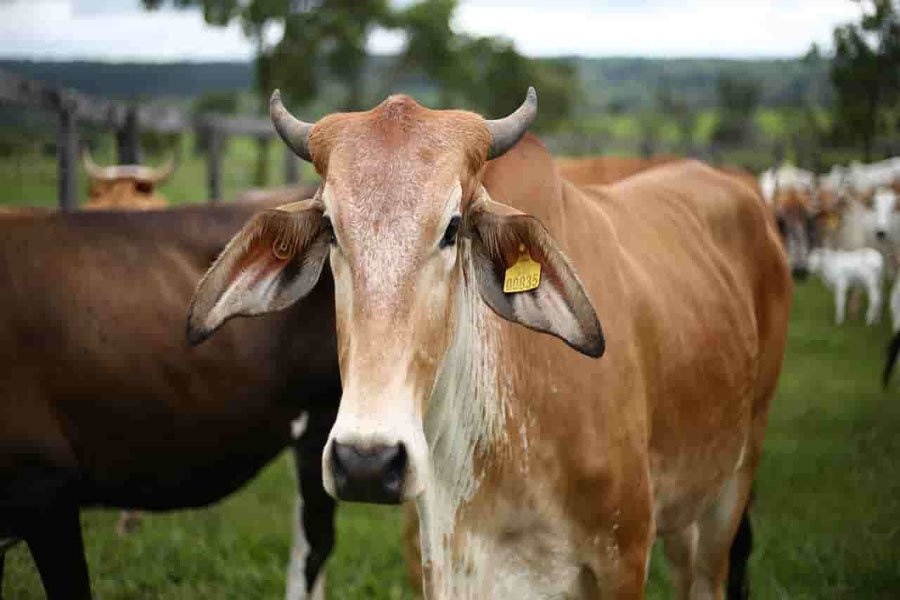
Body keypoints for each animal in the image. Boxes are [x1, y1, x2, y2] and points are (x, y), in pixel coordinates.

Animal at [188, 88, 791, 599]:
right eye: (333, 228)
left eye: (453, 227)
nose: (366, 461)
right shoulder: (436, 566)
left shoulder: (623, 556)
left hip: (735, 479)